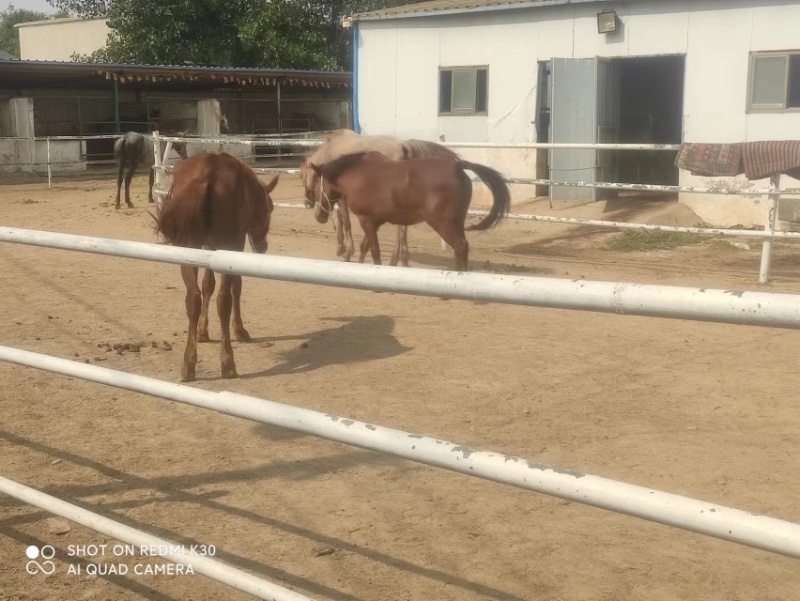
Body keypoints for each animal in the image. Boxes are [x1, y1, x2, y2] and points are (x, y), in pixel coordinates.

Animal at [155, 152, 279, 382]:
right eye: (269, 209)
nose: (262, 246)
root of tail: (207, 175)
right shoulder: (233, 247)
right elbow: (235, 286)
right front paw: (239, 330)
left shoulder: (209, 248)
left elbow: (207, 285)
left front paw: (202, 331)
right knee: (224, 300)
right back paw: (228, 361)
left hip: (188, 249)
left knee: (193, 299)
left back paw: (188, 364)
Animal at [299, 129, 459, 266]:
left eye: (302, 177)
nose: (307, 203)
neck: (329, 152)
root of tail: (405, 144)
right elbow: (341, 218)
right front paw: (342, 247)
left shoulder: (342, 197)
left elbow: (346, 222)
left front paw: (347, 252)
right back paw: (398, 259)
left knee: (401, 228)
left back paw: (398, 259)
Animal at [310, 151, 510, 272]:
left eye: (316, 185)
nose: (319, 216)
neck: (357, 175)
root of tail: (457, 166)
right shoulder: (376, 221)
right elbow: (365, 247)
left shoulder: (366, 219)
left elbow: (374, 250)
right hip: (457, 222)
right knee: (462, 248)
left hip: (442, 223)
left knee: (460, 246)